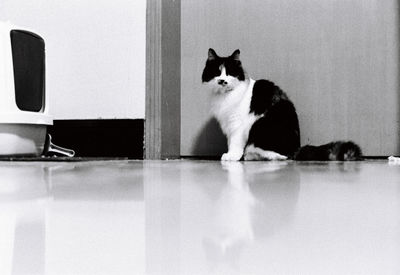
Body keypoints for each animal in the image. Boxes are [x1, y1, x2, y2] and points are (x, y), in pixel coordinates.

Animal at [202, 49, 360, 162]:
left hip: (260, 125)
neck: (224, 96)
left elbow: (235, 143)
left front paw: (232, 156)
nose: (222, 81)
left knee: (283, 156)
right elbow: (230, 142)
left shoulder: (237, 125)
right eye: (217, 72)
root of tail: (298, 148)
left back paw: (252, 155)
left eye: (229, 73)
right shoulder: (228, 124)